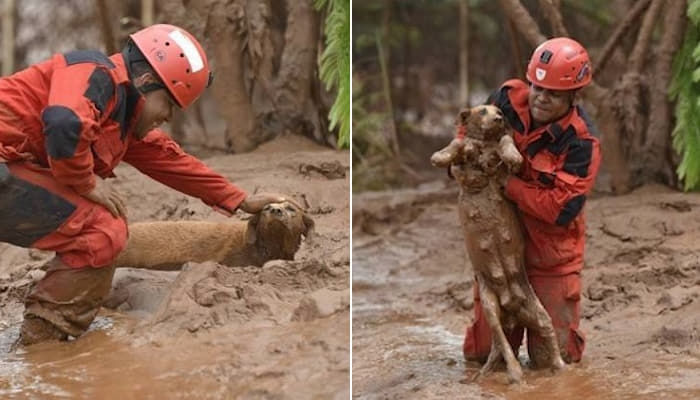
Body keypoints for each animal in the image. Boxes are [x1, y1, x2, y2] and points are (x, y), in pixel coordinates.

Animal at [432, 104, 564, 382]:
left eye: (499, 110)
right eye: (483, 111)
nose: (499, 117)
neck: (484, 143)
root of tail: (511, 310)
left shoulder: (503, 153)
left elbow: (506, 141)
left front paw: (512, 156)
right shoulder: (465, 153)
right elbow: (458, 143)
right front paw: (441, 156)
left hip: (539, 312)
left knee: (546, 336)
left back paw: (556, 368)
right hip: (489, 307)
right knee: (502, 343)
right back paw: (509, 373)